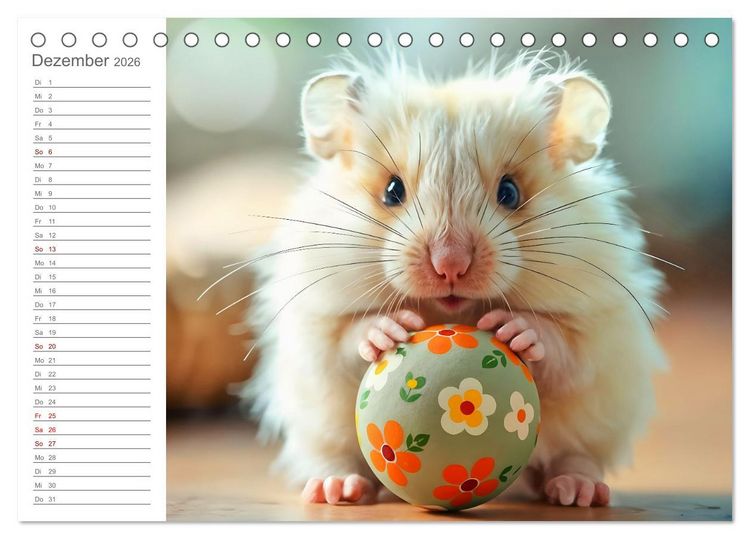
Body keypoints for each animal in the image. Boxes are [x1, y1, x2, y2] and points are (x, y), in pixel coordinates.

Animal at [237, 51, 669, 507]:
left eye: (510, 192)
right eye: (392, 191)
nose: (450, 266)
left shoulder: (597, 328)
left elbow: (563, 348)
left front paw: (512, 329)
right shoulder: (314, 325)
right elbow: (343, 342)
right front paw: (391, 330)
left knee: (574, 458)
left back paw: (576, 491)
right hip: (318, 430)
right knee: (336, 459)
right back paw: (335, 489)